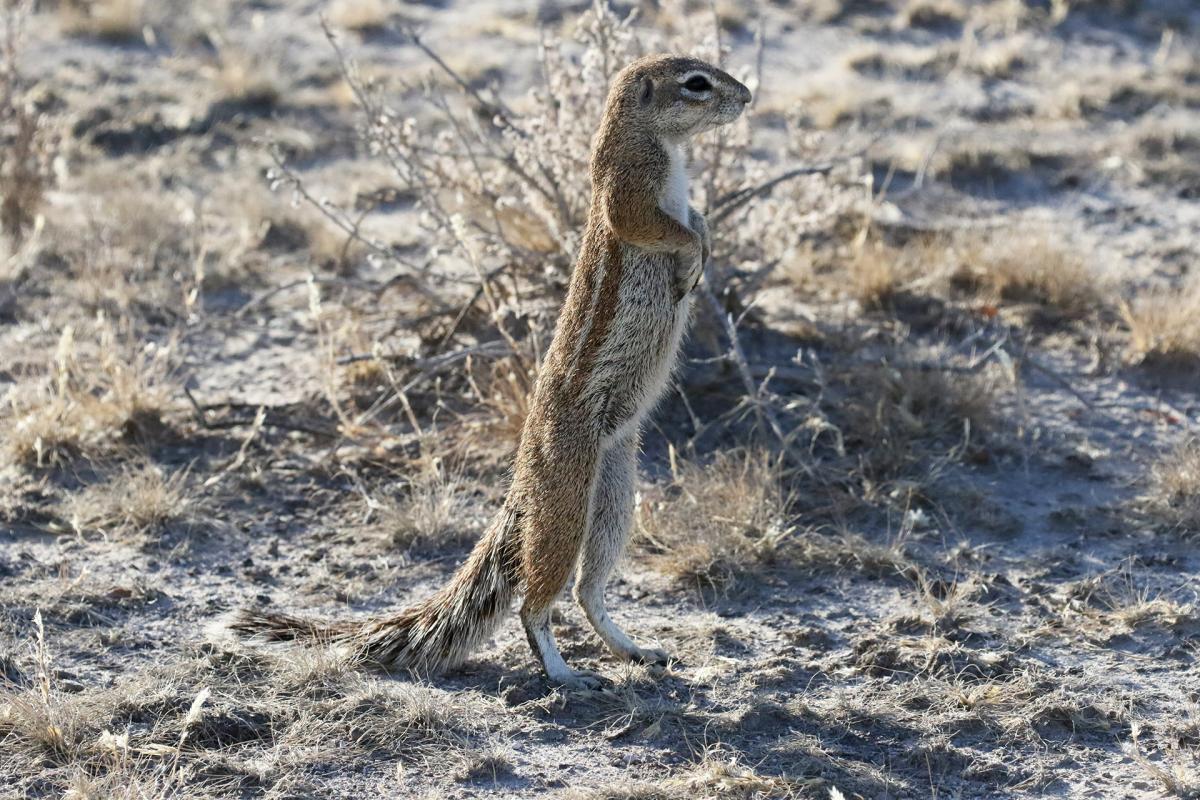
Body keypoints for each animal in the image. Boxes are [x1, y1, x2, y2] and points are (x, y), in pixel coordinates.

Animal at [232, 53, 748, 690]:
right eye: (697, 84)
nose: (747, 97)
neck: (652, 142)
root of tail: (523, 473)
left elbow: (695, 218)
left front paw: (703, 245)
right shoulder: (628, 190)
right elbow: (661, 228)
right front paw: (692, 258)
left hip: (615, 488)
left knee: (588, 590)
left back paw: (633, 649)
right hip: (566, 499)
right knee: (535, 603)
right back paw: (566, 675)